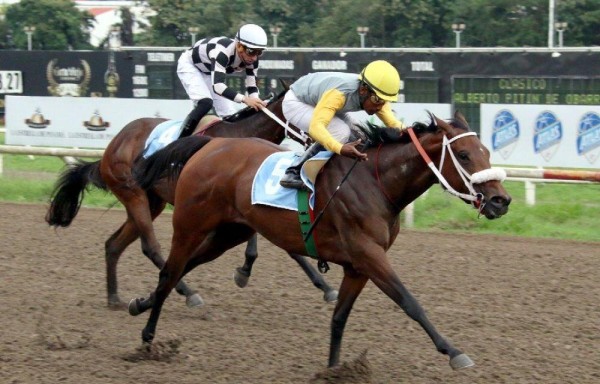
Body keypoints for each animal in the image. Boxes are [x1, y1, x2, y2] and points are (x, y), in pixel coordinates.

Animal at [45, 87, 340, 308]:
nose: (322, 143)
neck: (240, 136)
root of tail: (111, 146)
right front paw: (244, 271)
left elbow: (289, 249)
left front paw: (326, 287)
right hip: (134, 195)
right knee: (150, 247)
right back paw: (187, 293)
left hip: (152, 202)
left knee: (113, 244)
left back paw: (114, 298)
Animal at [129, 112, 512, 370]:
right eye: (463, 155)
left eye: (486, 151)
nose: (501, 201)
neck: (377, 184)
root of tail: (212, 143)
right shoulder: (370, 255)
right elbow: (410, 302)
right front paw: (454, 352)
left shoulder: (358, 266)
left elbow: (339, 318)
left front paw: (333, 369)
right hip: (190, 225)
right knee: (169, 271)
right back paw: (147, 338)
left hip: (228, 233)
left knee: (183, 268)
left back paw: (141, 304)